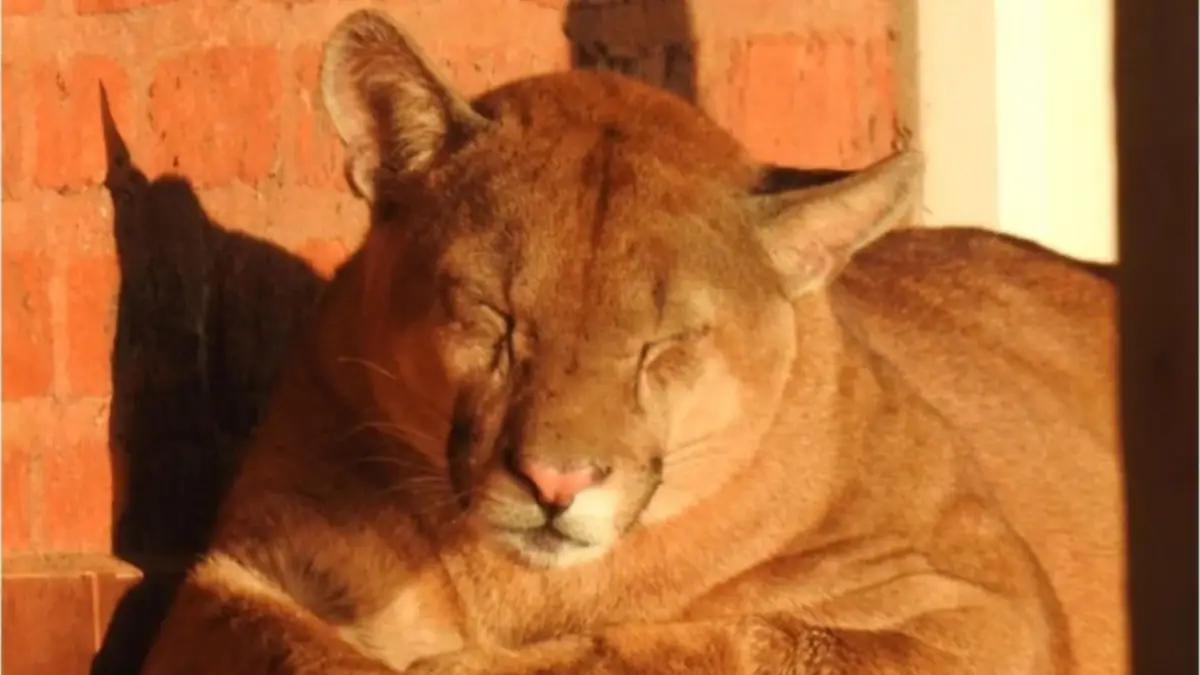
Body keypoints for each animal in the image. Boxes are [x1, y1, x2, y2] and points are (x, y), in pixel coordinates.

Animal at [140, 9, 1126, 675]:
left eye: (664, 345)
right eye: (494, 316)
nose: (555, 482)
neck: (534, 587)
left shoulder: (985, 601)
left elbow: (723, 641)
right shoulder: (240, 572)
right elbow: (295, 648)